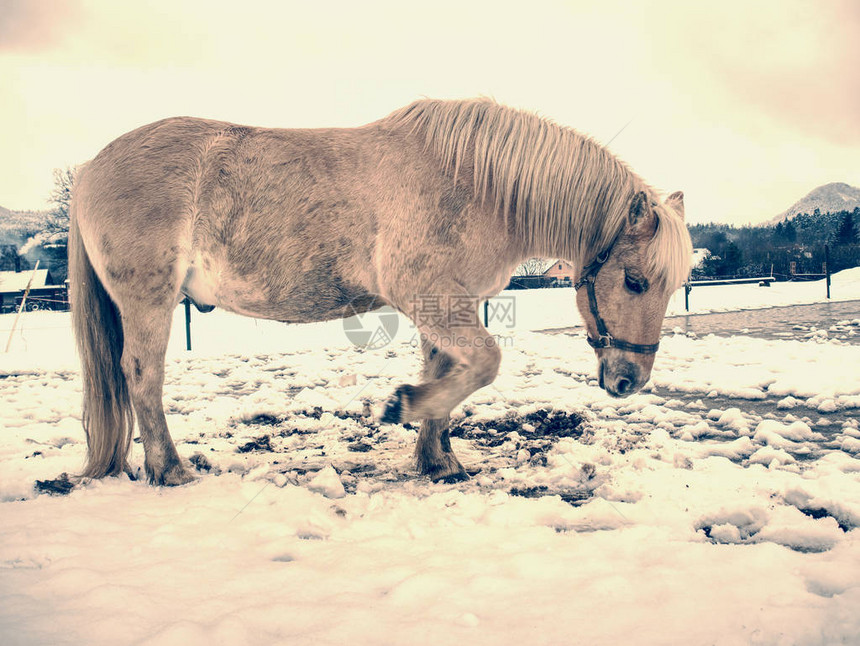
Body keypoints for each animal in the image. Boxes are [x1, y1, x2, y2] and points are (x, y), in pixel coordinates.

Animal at [70, 98, 696, 486]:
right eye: (635, 281)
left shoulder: (447, 302)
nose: (630, 381)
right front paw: (404, 407)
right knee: (142, 376)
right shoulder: (425, 293)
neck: (475, 185)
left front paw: (437, 459)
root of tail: (90, 167)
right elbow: (483, 363)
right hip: (149, 300)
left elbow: (448, 369)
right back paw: (169, 469)